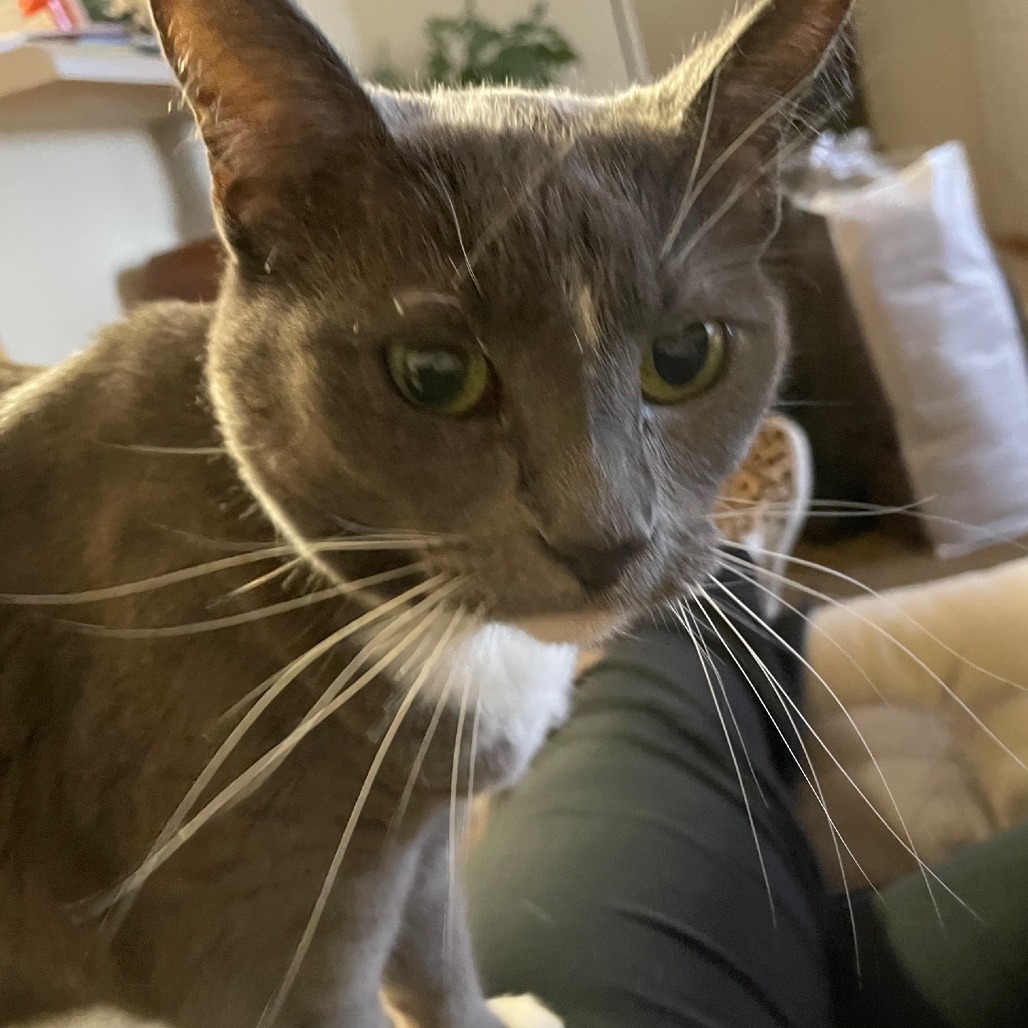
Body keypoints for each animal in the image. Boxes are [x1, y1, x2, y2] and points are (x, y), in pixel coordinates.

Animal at [0, 0, 853, 1025]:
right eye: (436, 374)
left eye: (685, 355)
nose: (602, 536)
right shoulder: (268, 949)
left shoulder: (423, 846)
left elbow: (440, 962)